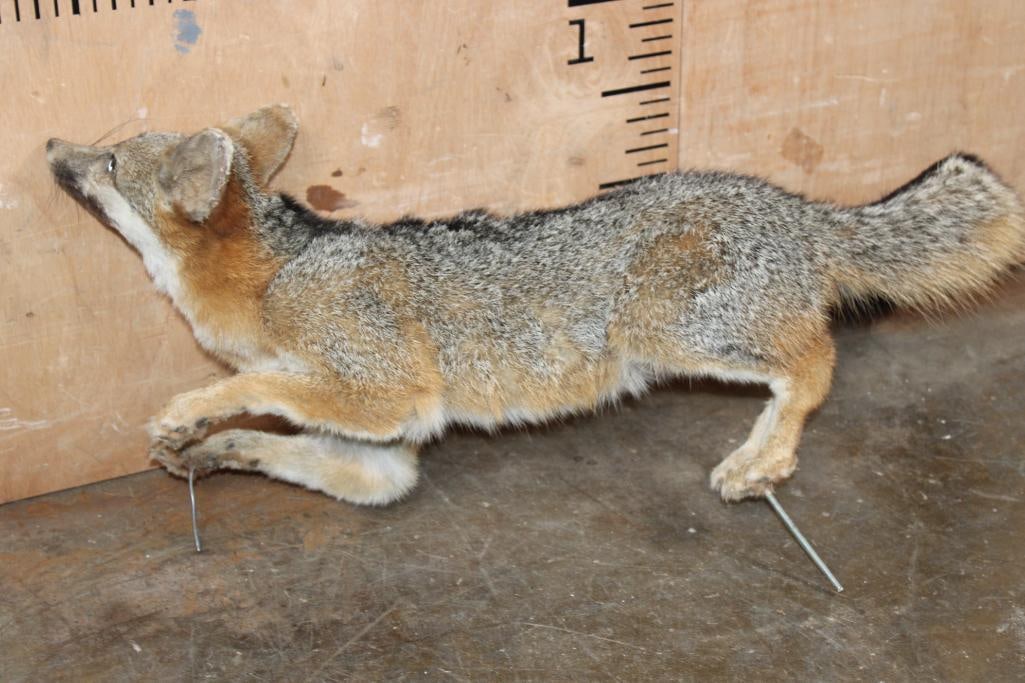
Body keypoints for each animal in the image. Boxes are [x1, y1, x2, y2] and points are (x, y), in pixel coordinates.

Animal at [46, 104, 1025, 506]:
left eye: (110, 162)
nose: (52, 146)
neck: (275, 278)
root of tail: (794, 205)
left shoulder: (387, 391)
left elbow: (266, 385)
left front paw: (189, 411)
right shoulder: (383, 458)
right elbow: (287, 442)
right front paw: (215, 450)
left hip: (662, 327)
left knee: (816, 360)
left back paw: (760, 458)